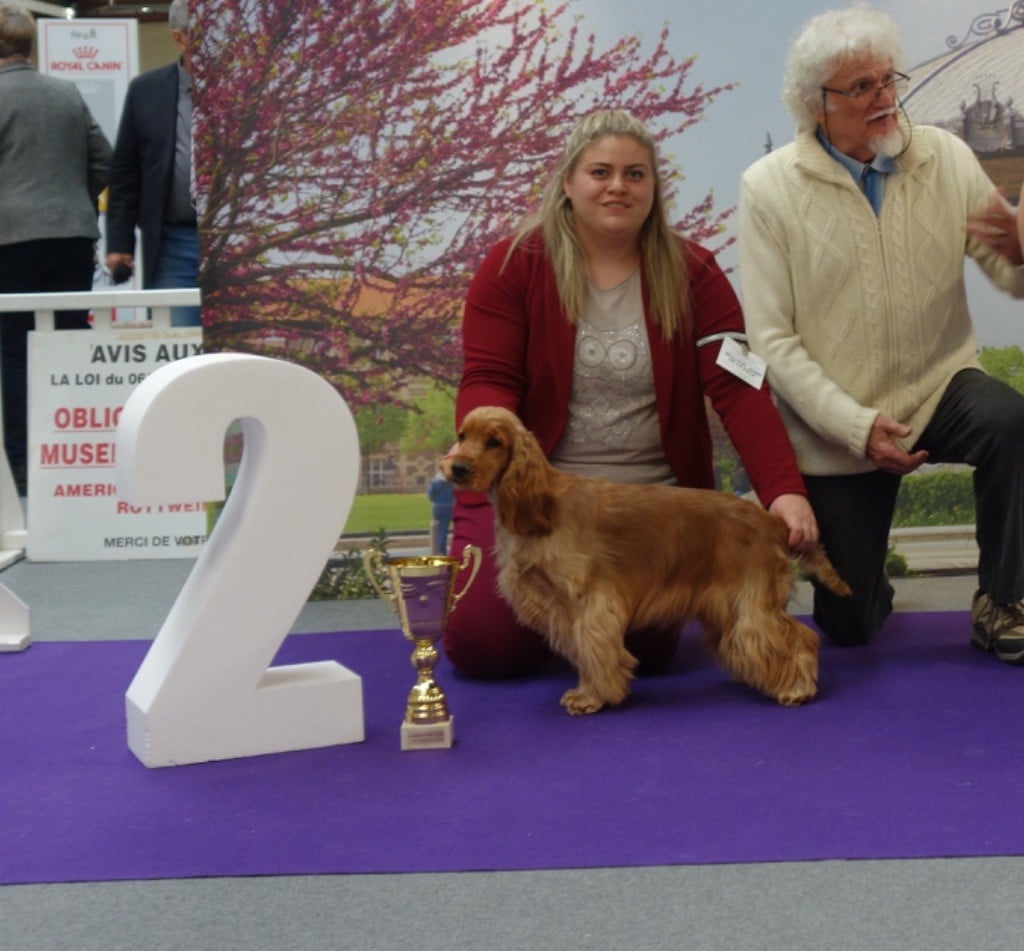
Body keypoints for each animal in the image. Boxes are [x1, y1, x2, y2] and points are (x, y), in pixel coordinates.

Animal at [444, 405, 851, 712]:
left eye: (494, 442)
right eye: (462, 435)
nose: (456, 467)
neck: (540, 504)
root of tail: (771, 520)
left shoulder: (588, 601)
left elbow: (593, 649)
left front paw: (591, 696)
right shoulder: (562, 607)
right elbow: (582, 649)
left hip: (751, 604)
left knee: (800, 638)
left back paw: (797, 688)